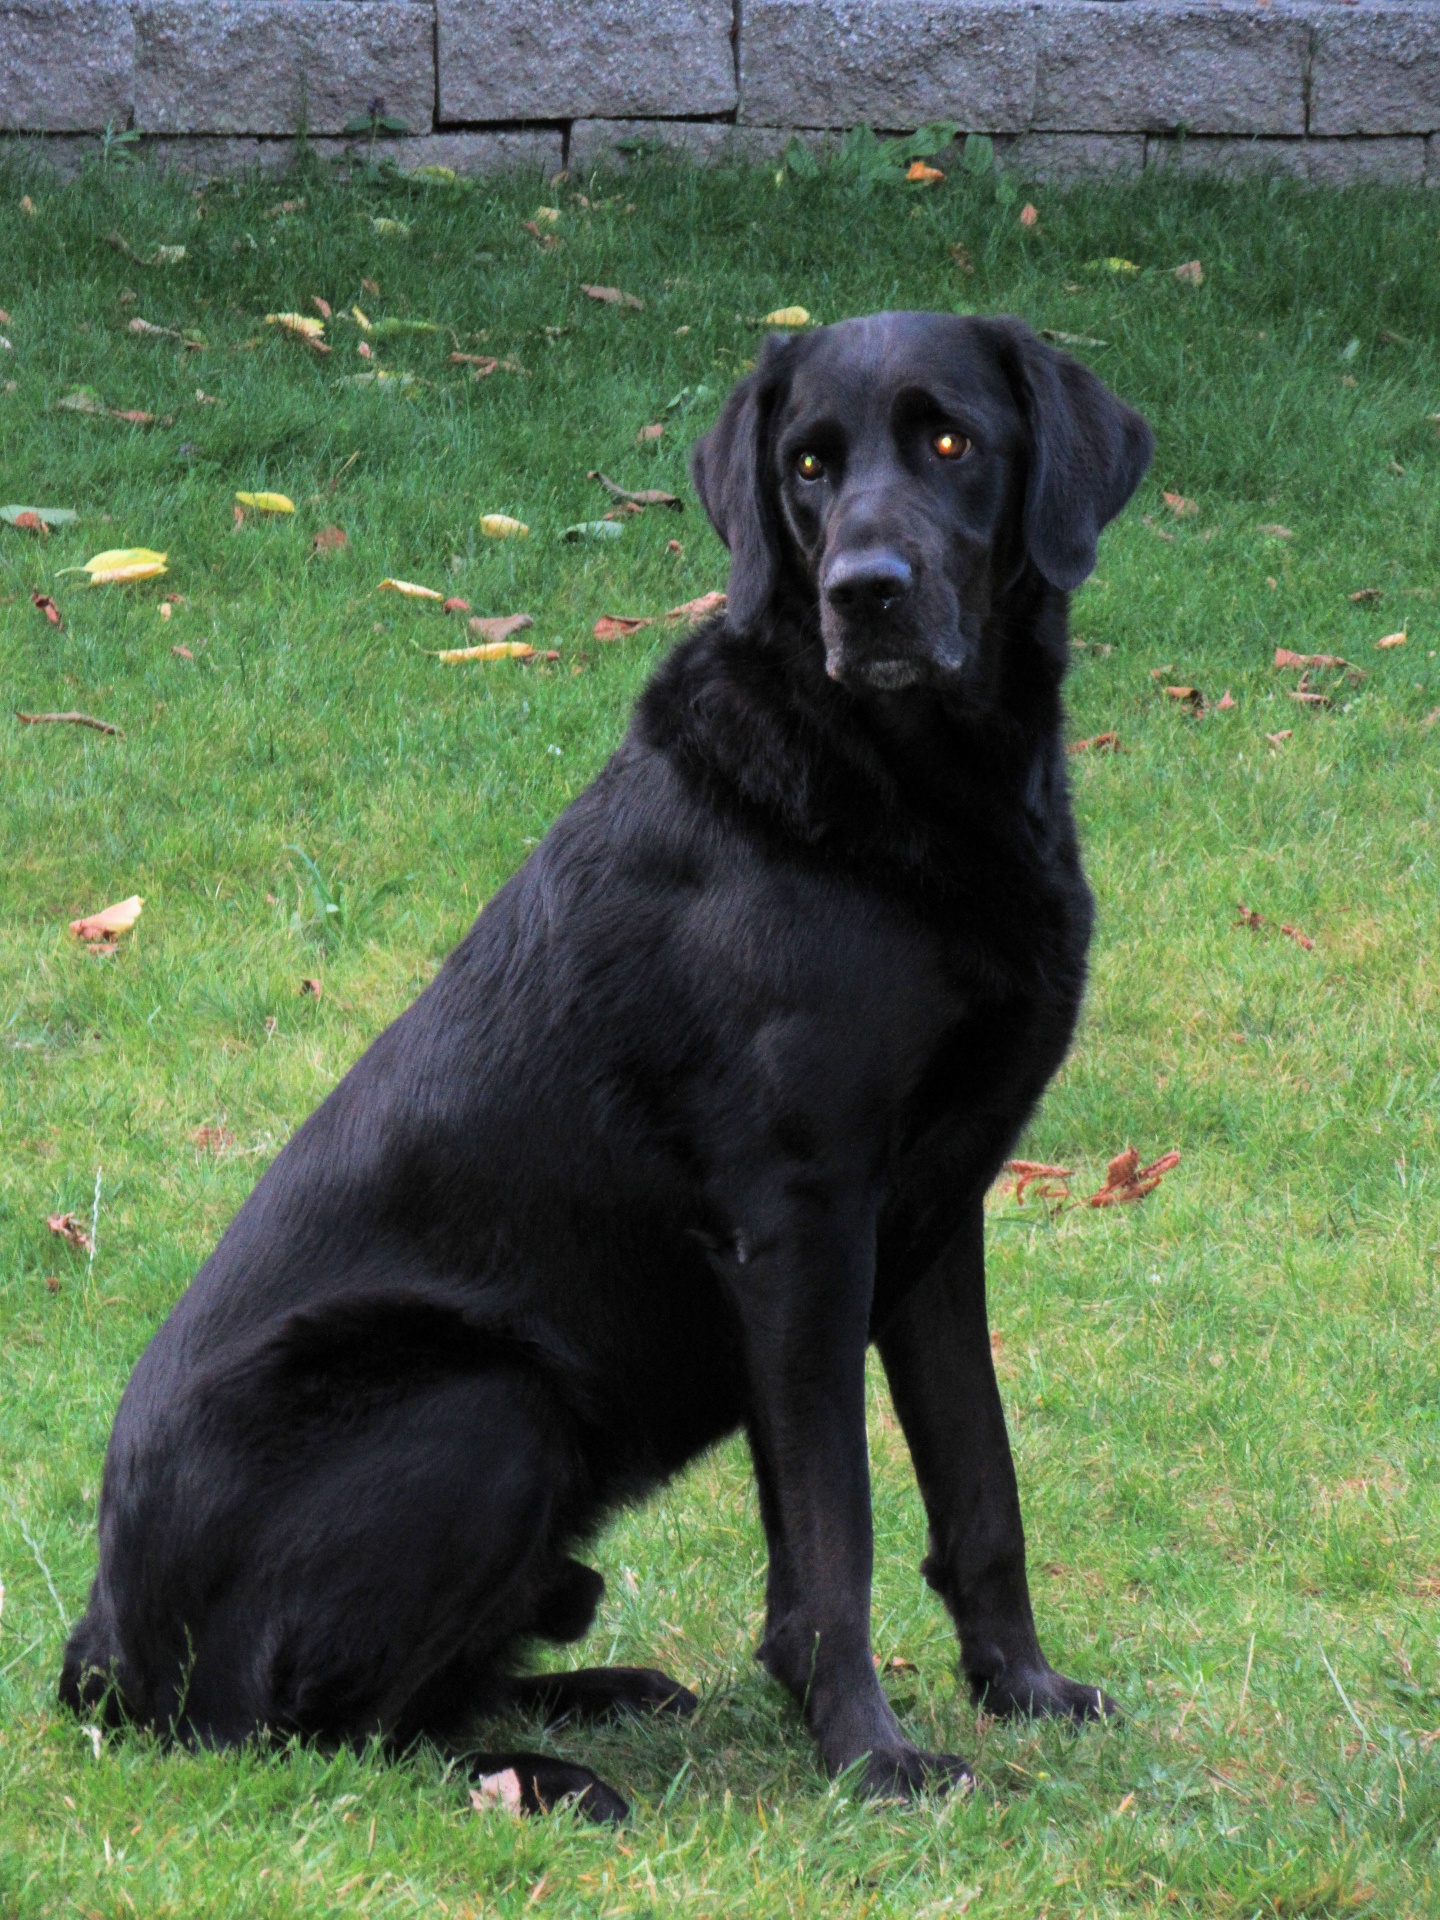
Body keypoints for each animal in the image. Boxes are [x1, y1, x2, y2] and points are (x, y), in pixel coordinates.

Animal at [61, 311, 1159, 1812]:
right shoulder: (801, 1226)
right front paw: (868, 1757)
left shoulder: (937, 1217)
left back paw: (603, 1695)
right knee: (309, 1734)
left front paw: (1025, 1692)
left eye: (950, 441)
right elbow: (834, 1541)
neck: (909, 783)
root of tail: (103, 1654)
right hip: (493, 1403)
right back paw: (544, 1776)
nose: (865, 594)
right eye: (808, 466)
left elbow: (980, 1488)